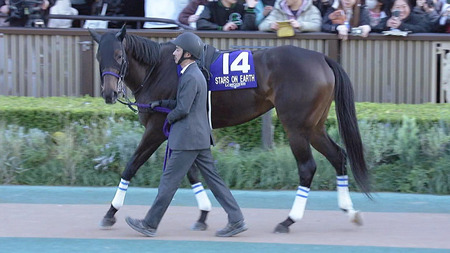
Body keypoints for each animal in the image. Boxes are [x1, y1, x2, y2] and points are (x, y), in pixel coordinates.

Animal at [89, 26, 370, 234]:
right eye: (99, 57)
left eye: (119, 56)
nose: (109, 94)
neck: (160, 69)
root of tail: (322, 57)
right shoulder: (180, 130)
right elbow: (191, 172)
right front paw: (203, 215)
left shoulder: (157, 129)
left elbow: (132, 165)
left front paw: (110, 212)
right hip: (314, 127)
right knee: (338, 156)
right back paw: (350, 211)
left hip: (296, 128)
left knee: (307, 168)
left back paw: (288, 220)